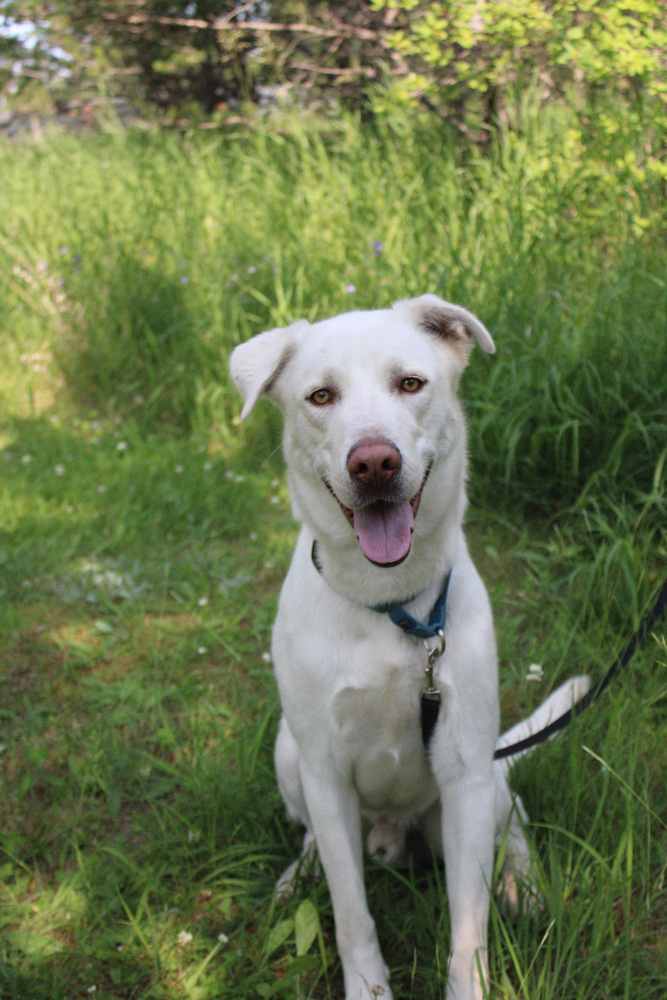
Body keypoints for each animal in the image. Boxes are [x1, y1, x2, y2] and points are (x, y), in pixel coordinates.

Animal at [231, 296, 588, 1000]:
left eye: (410, 383)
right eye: (320, 395)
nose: (374, 463)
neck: (388, 603)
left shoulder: (464, 765)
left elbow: (469, 925)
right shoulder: (325, 771)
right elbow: (350, 912)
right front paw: (367, 985)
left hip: (482, 781)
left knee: (514, 813)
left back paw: (525, 885)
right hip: (289, 751)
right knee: (318, 840)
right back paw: (299, 876)